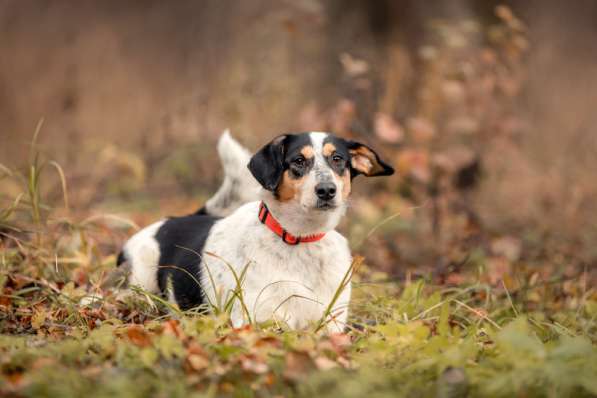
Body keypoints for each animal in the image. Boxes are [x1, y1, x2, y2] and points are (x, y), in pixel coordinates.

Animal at [116, 131, 392, 332]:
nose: (326, 190)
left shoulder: (330, 324)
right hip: (140, 281)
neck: (301, 239)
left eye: (338, 159)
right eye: (298, 161)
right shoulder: (257, 321)